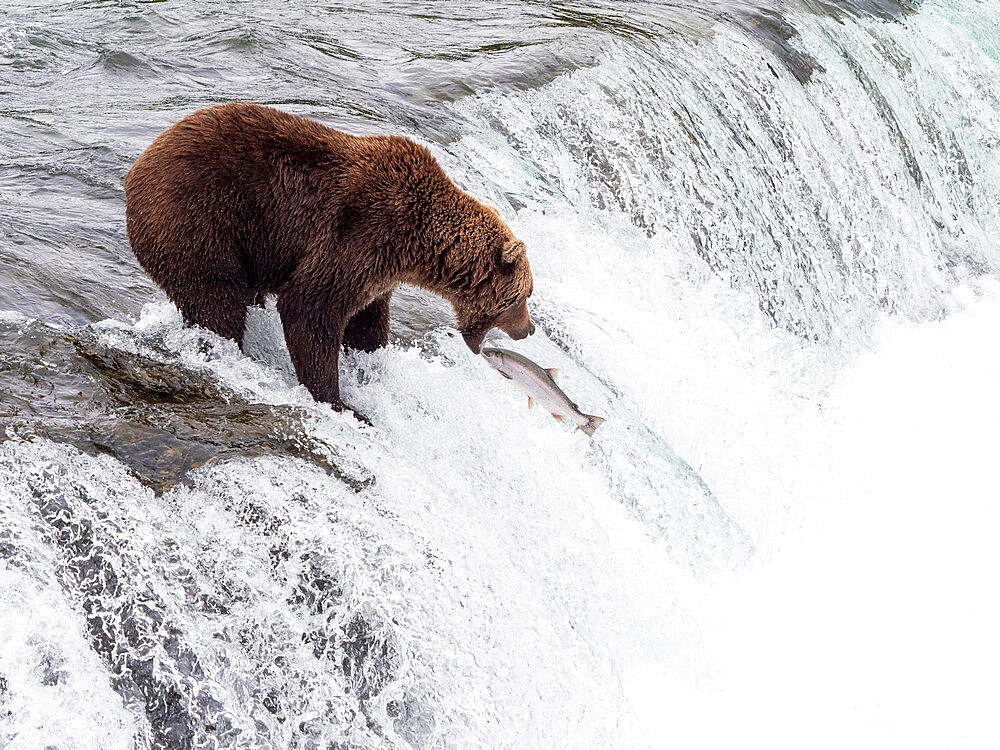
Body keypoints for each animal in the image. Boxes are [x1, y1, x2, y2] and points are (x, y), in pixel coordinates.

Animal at [124, 101, 536, 412]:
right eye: (521, 297)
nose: (529, 329)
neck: (419, 243)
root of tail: (134, 172)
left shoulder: (378, 270)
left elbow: (365, 320)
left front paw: (370, 366)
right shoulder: (361, 233)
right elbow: (309, 307)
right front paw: (336, 400)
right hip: (201, 221)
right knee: (216, 300)